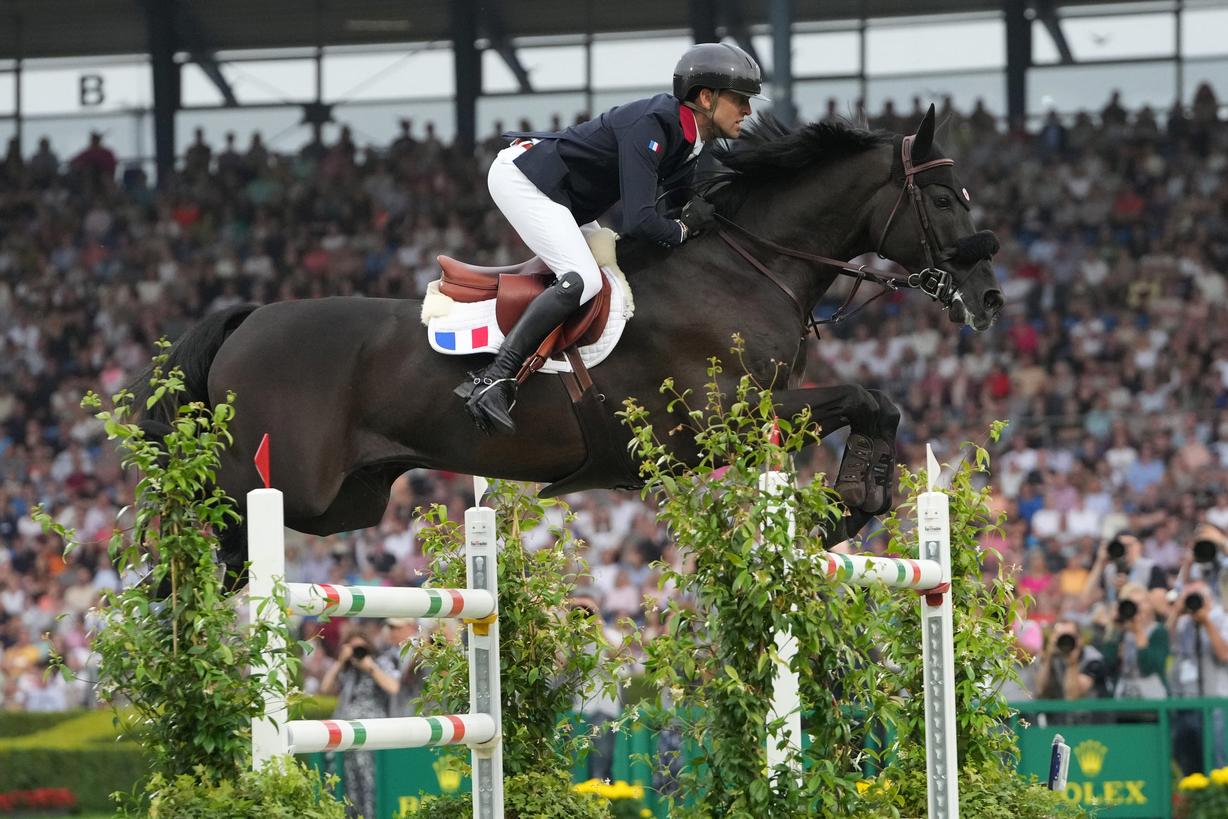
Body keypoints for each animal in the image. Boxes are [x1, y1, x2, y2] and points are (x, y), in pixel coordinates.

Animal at [136, 105, 997, 579]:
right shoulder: (719, 417)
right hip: (287, 482)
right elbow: (865, 395)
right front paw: (852, 498)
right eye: (944, 197)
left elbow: (877, 400)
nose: (989, 298)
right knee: (202, 508)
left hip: (348, 502)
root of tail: (252, 315)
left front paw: (856, 499)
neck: (743, 263)